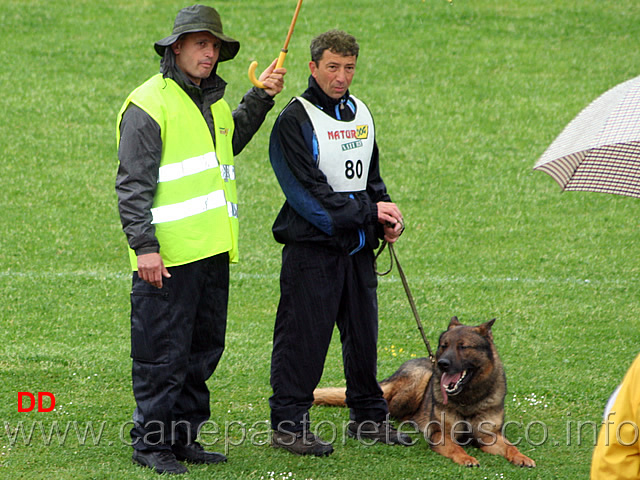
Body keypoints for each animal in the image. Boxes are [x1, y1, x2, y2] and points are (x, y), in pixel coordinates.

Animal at [314, 316, 536, 466]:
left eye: (463, 347)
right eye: (444, 345)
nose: (442, 363)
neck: (467, 399)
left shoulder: (489, 437)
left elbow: (510, 446)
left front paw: (522, 457)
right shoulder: (440, 435)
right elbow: (456, 447)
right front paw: (466, 458)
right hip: (417, 383)